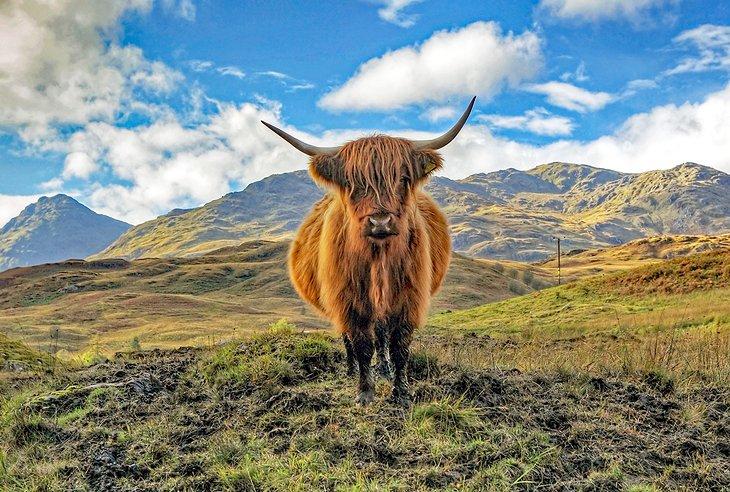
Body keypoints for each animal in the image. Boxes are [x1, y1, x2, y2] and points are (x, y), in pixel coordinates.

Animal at [261, 97, 475, 406]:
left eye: (403, 179)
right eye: (352, 183)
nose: (380, 221)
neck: (378, 258)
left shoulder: (408, 298)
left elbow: (399, 346)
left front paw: (401, 392)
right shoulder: (347, 299)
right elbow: (361, 344)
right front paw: (364, 391)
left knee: (381, 334)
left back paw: (383, 369)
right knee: (350, 338)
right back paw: (352, 369)